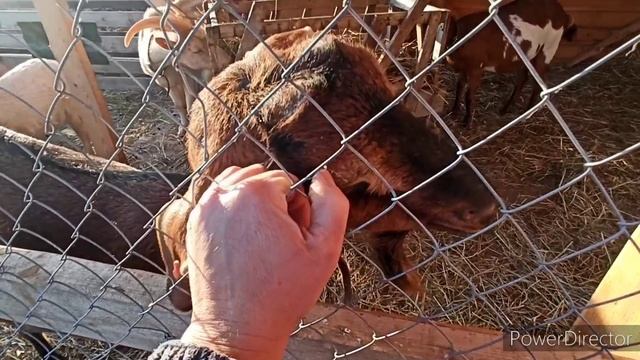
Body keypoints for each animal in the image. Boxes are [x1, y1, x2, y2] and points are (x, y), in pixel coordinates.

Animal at [448, 0, 576, 125]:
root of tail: (563, 13)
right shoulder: (464, 68)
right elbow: (459, 87)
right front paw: (454, 113)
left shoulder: (476, 67)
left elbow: (469, 95)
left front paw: (467, 123)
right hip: (526, 55)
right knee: (522, 80)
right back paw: (505, 109)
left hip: (549, 47)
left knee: (538, 83)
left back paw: (526, 114)